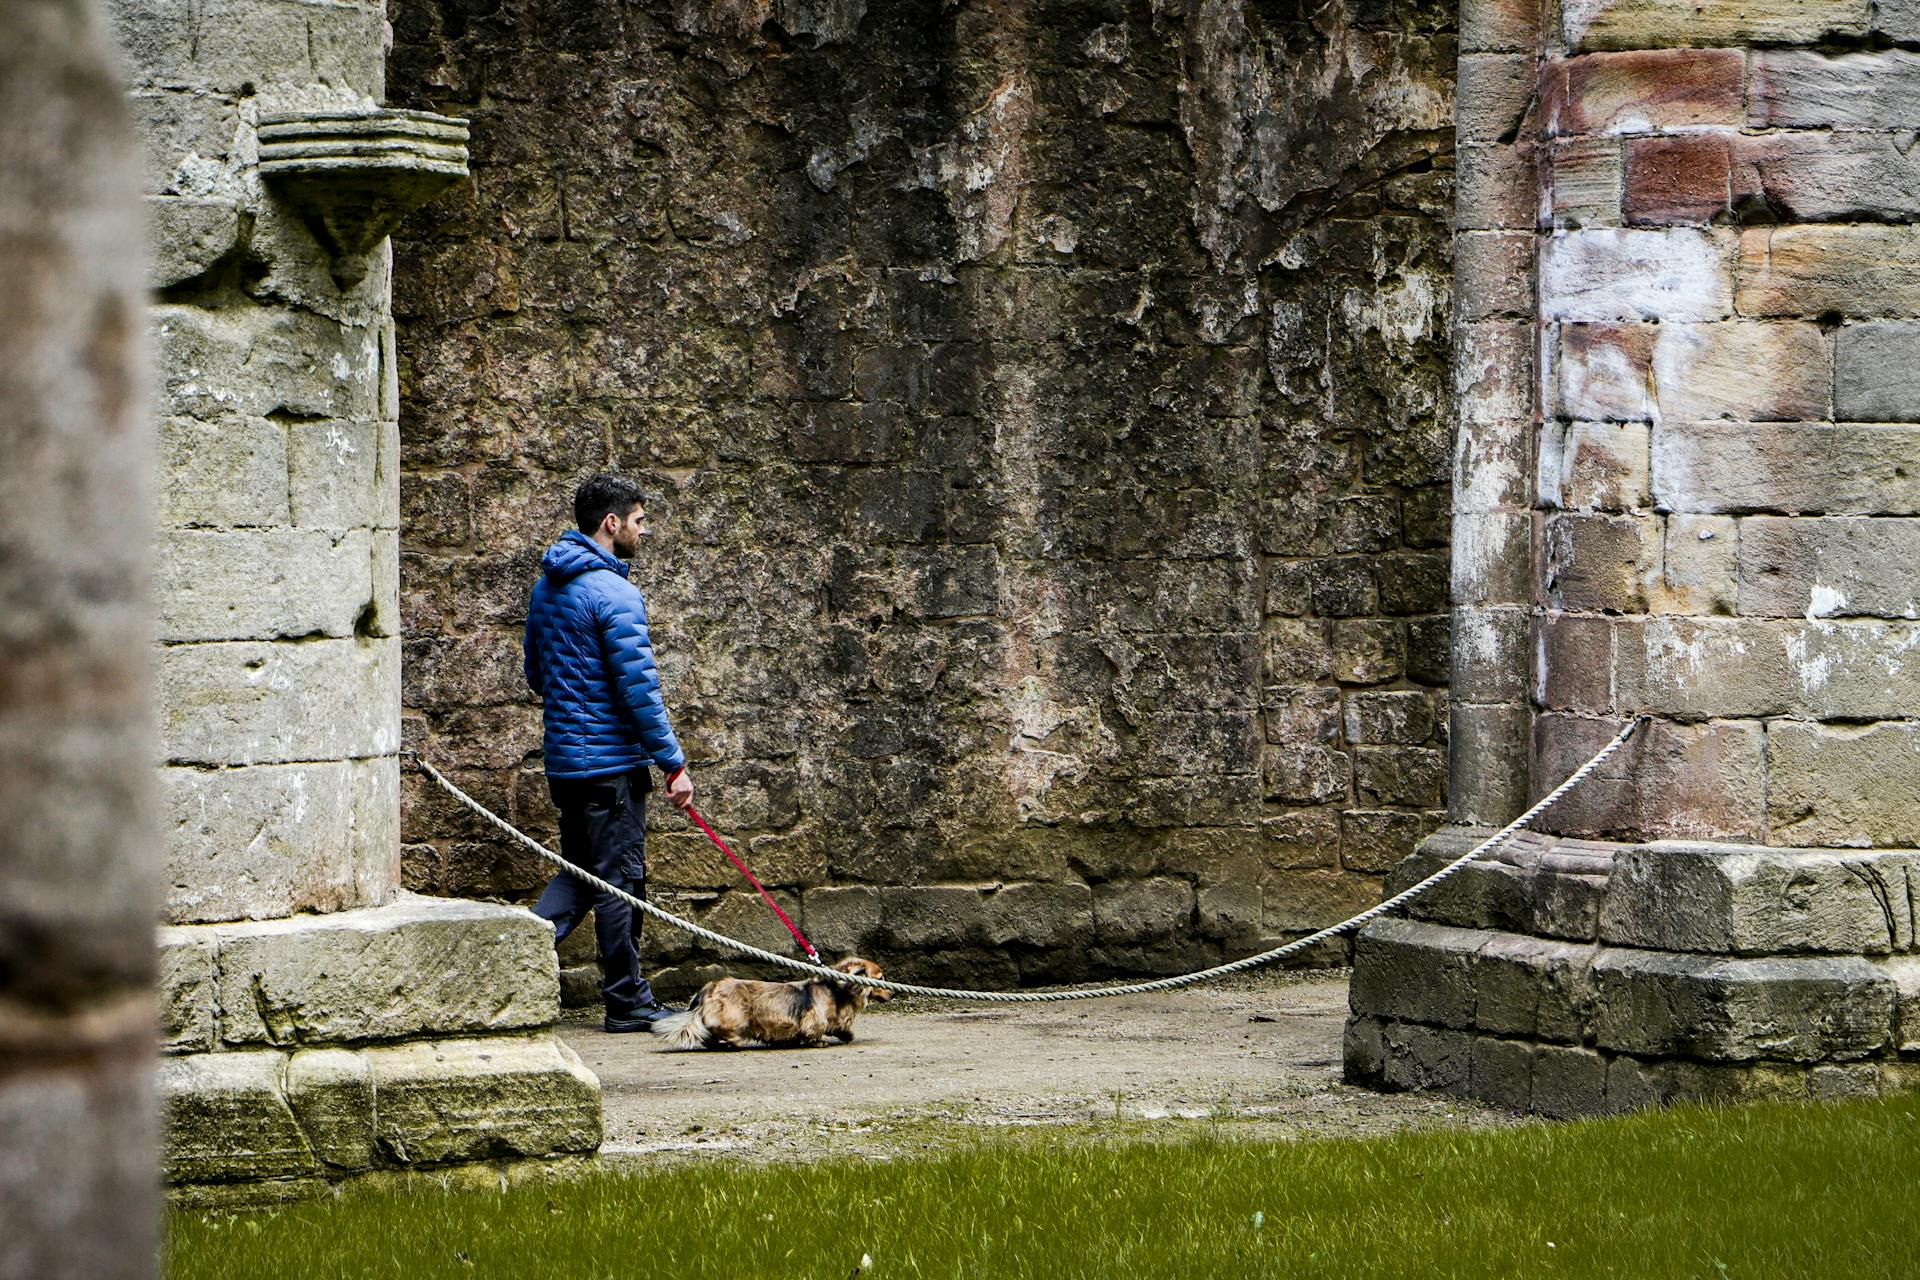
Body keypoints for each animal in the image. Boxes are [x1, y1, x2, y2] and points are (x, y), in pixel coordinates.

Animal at [652, 959, 890, 1051]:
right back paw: (732, 1043)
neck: (837, 991)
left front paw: (846, 1034)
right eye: (881, 978)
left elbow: (840, 1028)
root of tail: (709, 988)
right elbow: (814, 1031)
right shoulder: (814, 1019)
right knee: (718, 1031)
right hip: (735, 1017)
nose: (893, 991)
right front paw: (818, 1042)